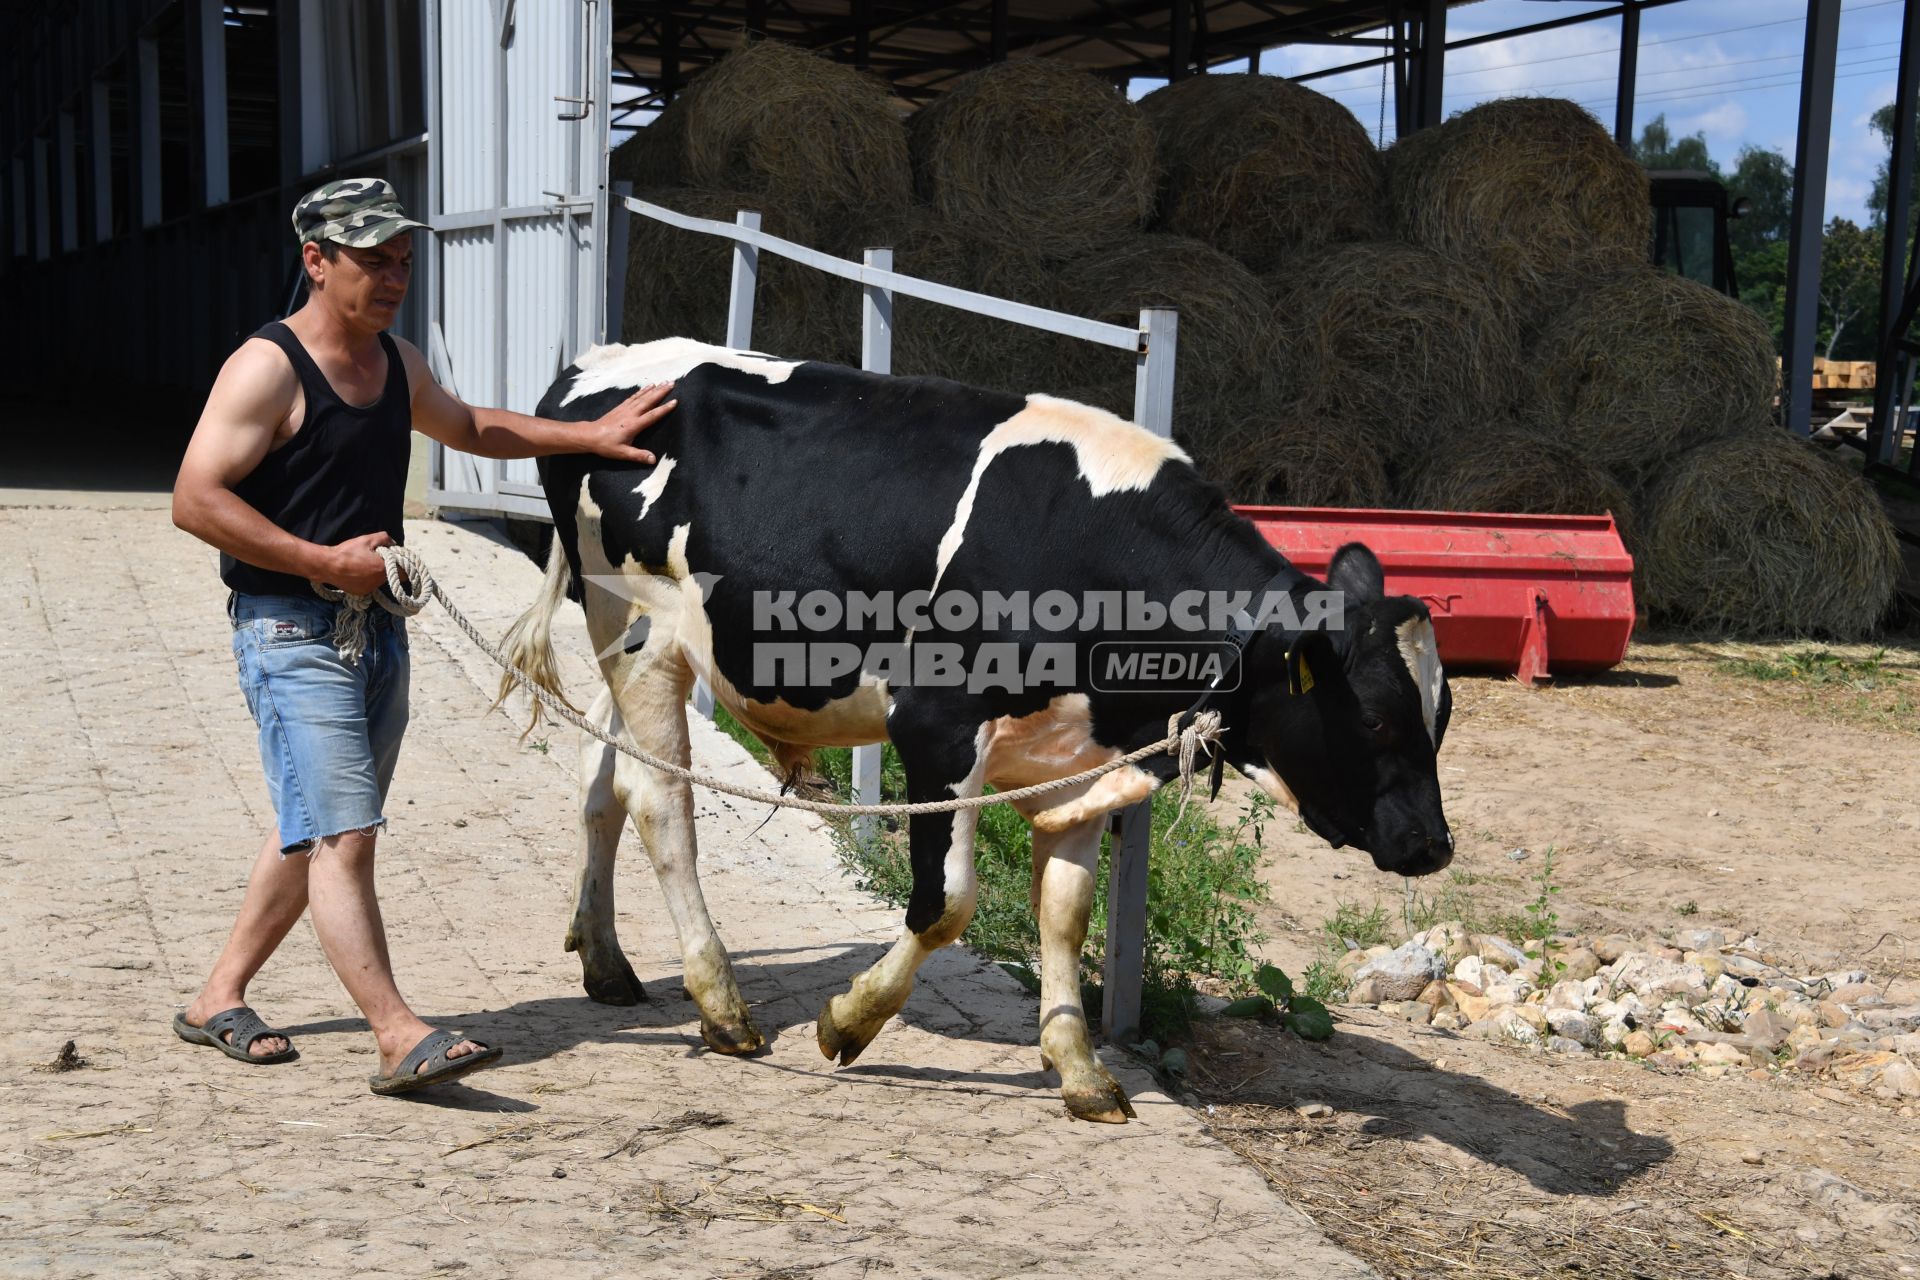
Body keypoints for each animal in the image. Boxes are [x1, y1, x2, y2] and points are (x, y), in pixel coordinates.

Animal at [503, 337, 1443, 1120]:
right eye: (1375, 716)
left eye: (1442, 713)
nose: (1433, 846)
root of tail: (592, 364)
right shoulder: (936, 725)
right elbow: (945, 904)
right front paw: (850, 1019)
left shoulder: (1081, 761)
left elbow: (1066, 912)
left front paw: (1079, 1067)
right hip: (644, 630)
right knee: (659, 798)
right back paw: (722, 1003)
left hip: (620, 641)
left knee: (600, 778)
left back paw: (606, 960)